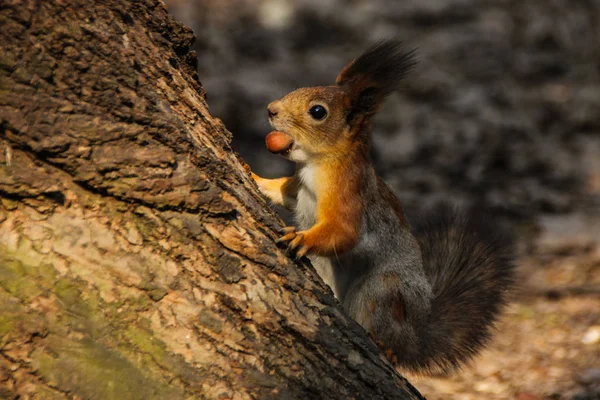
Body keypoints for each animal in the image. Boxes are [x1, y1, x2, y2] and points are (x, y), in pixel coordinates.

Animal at [251, 39, 512, 372]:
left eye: (318, 111)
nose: (271, 109)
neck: (318, 163)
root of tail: (415, 337)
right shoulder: (300, 189)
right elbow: (283, 190)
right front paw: (255, 177)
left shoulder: (348, 192)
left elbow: (344, 231)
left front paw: (301, 238)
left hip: (383, 292)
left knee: (389, 337)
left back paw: (386, 347)